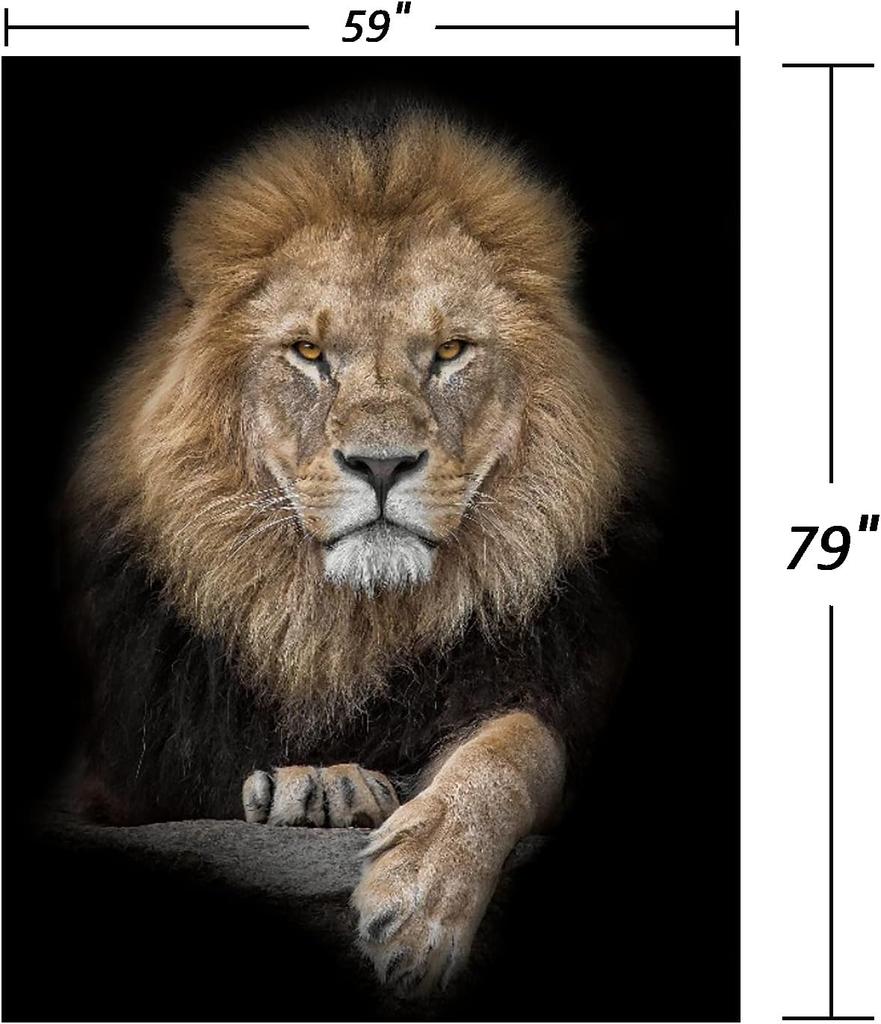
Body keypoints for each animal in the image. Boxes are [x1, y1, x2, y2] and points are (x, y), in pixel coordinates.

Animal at [65, 107, 659, 998]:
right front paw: (317, 782)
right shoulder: (121, 776)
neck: (347, 624)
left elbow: (515, 747)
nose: (381, 465)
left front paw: (421, 901)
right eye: (309, 354)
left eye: (449, 351)